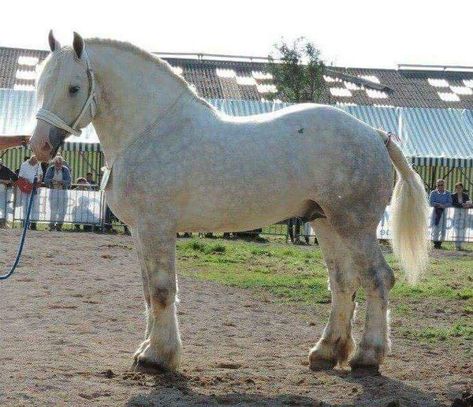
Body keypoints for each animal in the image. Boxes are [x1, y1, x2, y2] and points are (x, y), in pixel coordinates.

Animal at [29, 32, 428, 372]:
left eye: (73, 87)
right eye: (40, 85)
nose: (40, 147)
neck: (151, 131)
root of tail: (376, 135)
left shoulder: (157, 228)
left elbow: (162, 291)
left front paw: (159, 358)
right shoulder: (140, 232)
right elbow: (147, 292)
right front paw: (147, 349)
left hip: (355, 227)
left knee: (378, 279)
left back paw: (368, 355)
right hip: (325, 223)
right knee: (343, 283)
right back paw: (327, 351)